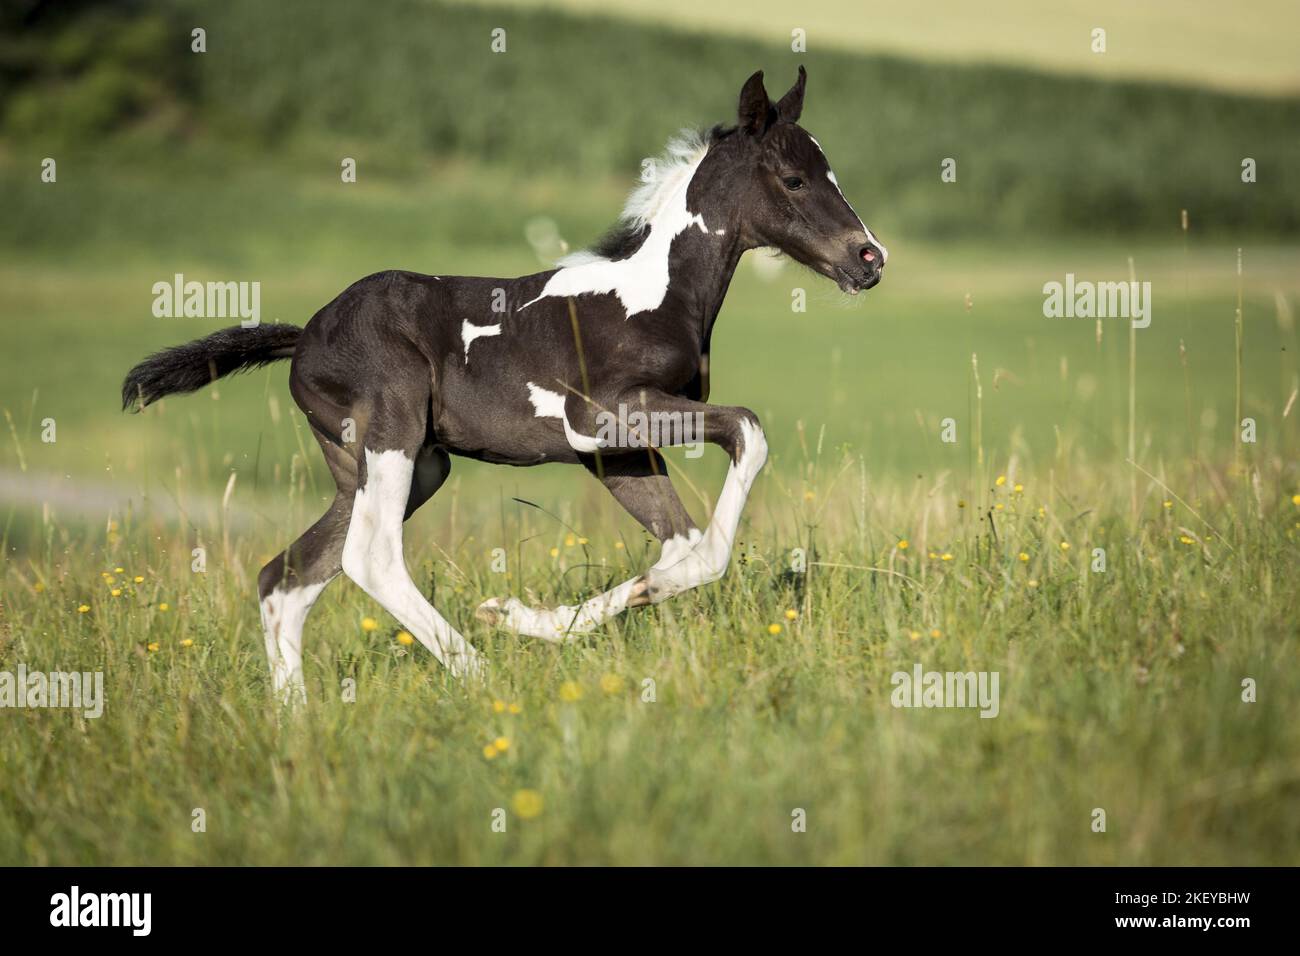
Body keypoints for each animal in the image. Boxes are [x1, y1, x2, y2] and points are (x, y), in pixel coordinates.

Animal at [121, 67, 887, 702]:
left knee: (287, 575)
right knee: (369, 557)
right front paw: (506, 617)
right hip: (394, 433)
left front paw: (528, 618)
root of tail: (305, 335)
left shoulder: (616, 453)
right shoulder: (605, 418)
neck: (654, 293)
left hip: (393, 465)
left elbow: (682, 549)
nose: (869, 258)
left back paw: (297, 726)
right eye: (793, 179)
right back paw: (477, 674)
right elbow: (746, 440)